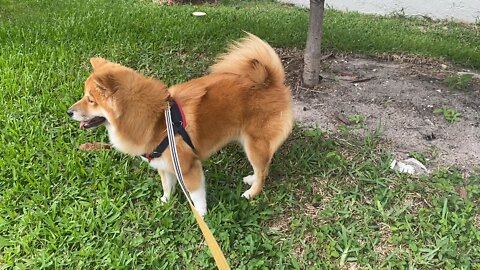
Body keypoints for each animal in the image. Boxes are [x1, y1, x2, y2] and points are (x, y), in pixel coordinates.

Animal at [67, 33, 292, 215]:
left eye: (90, 100)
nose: (69, 112)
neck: (157, 120)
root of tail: (270, 81)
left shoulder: (188, 166)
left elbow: (196, 195)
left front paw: (201, 215)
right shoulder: (164, 164)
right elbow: (167, 185)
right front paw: (166, 201)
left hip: (254, 144)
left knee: (263, 170)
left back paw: (252, 192)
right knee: (263, 167)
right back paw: (251, 179)